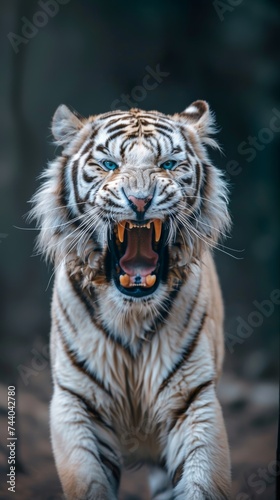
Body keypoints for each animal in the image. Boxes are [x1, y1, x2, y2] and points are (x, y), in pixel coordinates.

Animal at [31, 101, 231, 500]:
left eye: (168, 164)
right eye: (109, 165)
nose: (140, 200)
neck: (131, 313)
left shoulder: (194, 401)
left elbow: (201, 479)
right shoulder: (76, 404)